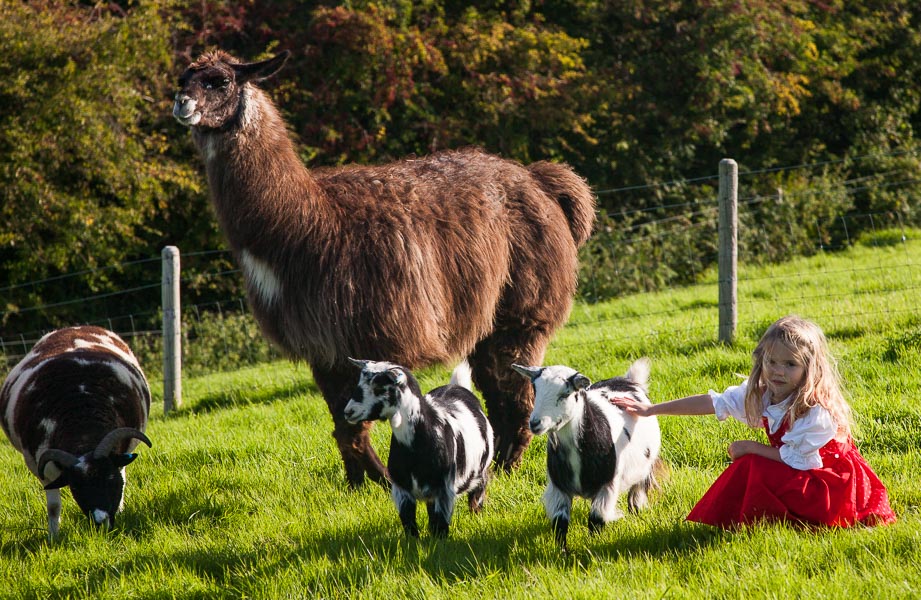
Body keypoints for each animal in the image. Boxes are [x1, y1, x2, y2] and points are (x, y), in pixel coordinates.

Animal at [0, 326, 153, 536]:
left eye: (111, 479)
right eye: (76, 488)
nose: (101, 522)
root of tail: (74, 328)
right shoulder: (42, 467)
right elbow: (53, 507)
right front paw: (53, 537)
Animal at [172, 48, 596, 488]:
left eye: (219, 81)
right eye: (182, 79)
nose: (182, 103)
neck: (308, 226)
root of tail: (538, 179)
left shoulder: (369, 334)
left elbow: (361, 422)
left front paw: (386, 481)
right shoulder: (323, 348)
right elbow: (345, 427)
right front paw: (358, 486)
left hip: (525, 307)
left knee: (516, 397)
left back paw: (502, 469)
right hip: (491, 317)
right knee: (498, 394)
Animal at [344, 358, 492, 536]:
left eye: (379, 388)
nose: (348, 411)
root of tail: (456, 387)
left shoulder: (444, 490)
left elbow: (440, 526)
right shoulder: (402, 489)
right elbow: (409, 523)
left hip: (480, 473)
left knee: (476, 497)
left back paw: (476, 515)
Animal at [510, 356, 660, 548]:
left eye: (565, 393)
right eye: (535, 390)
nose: (535, 423)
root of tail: (628, 380)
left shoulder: (608, 485)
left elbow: (596, 519)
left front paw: (591, 546)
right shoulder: (558, 487)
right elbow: (560, 522)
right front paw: (562, 551)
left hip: (645, 468)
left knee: (636, 494)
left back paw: (636, 513)